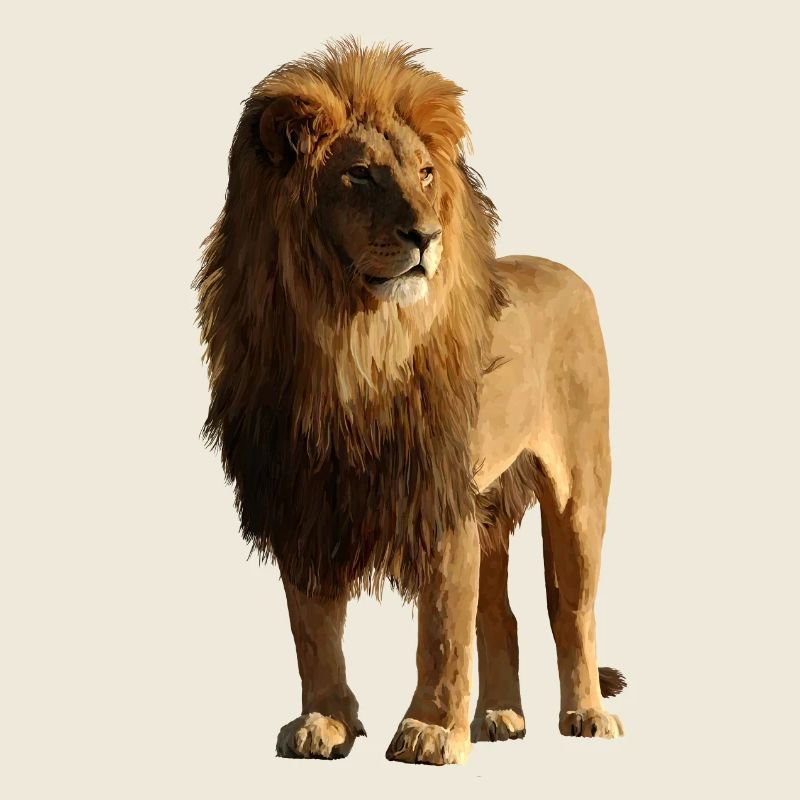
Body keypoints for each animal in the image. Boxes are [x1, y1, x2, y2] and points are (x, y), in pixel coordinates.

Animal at [193, 38, 626, 766]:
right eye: (360, 176)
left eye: (425, 173)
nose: (426, 237)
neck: (349, 343)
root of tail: (566, 273)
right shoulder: (302, 494)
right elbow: (313, 628)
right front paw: (325, 722)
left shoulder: (439, 493)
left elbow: (443, 627)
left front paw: (430, 732)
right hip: (491, 502)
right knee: (501, 613)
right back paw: (501, 718)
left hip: (579, 489)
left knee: (571, 609)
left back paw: (586, 714)